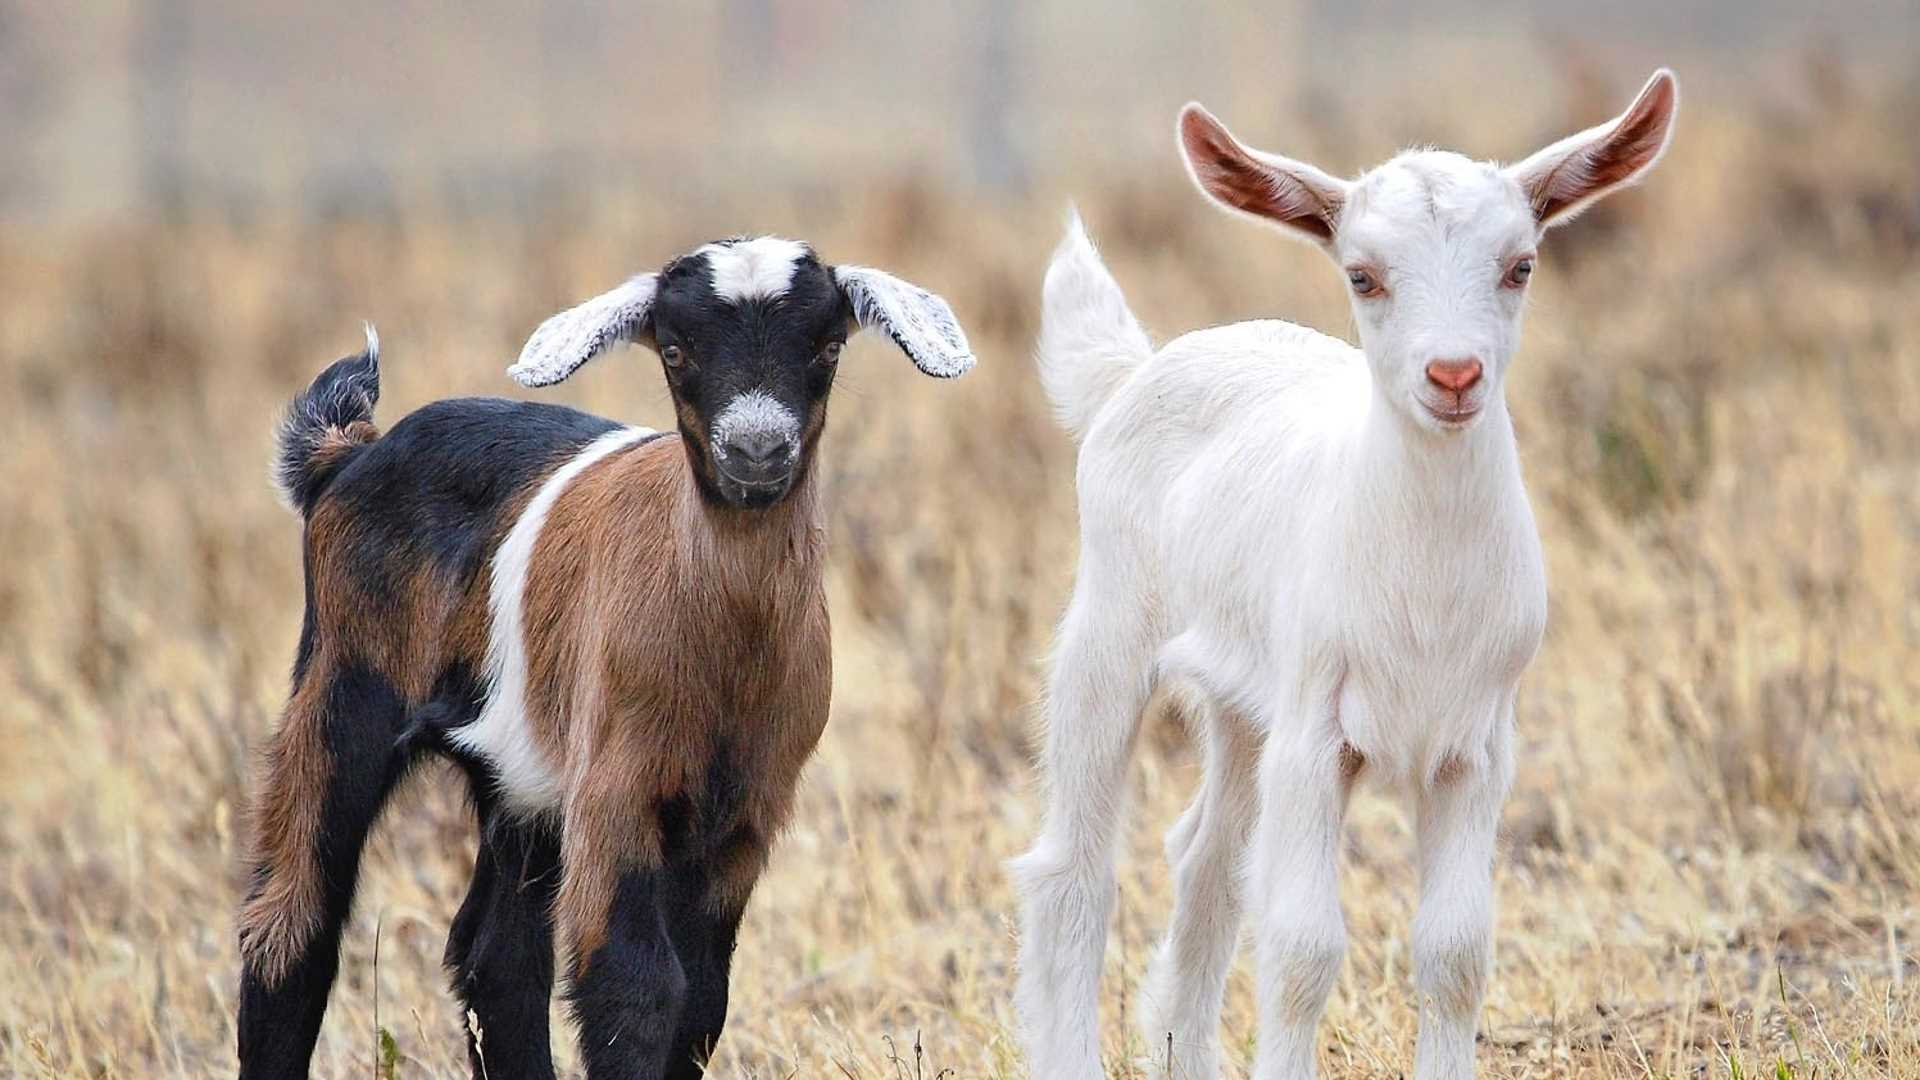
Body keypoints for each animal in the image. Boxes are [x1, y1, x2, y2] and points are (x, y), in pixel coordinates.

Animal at [238, 235, 975, 1076]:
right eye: (678, 349)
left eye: (826, 347)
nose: (756, 451)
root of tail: (347, 456)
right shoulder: (616, 788)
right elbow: (634, 983)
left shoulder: (747, 811)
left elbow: (702, 994)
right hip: (340, 690)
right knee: (290, 926)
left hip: (520, 781)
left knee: (494, 958)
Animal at [1013, 71, 1674, 1068]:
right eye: (1363, 275)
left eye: (1520, 265)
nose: (1453, 374)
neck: (1424, 584)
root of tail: (1133, 371)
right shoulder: (1316, 735)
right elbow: (1302, 949)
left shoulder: (1477, 747)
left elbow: (1456, 951)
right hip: (1110, 630)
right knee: (1073, 873)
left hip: (1244, 703)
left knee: (1205, 862)